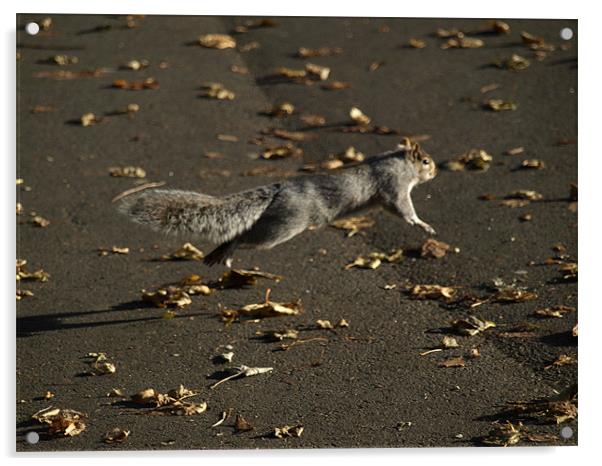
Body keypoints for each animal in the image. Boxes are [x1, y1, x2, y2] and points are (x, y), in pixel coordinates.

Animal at [117, 138, 436, 268]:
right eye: (425, 161)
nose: (435, 172)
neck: (396, 161)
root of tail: (281, 189)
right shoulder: (394, 186)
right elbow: (401, 207)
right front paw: (422, 224)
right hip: (285, 226)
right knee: (244, 237)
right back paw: (225, 252)